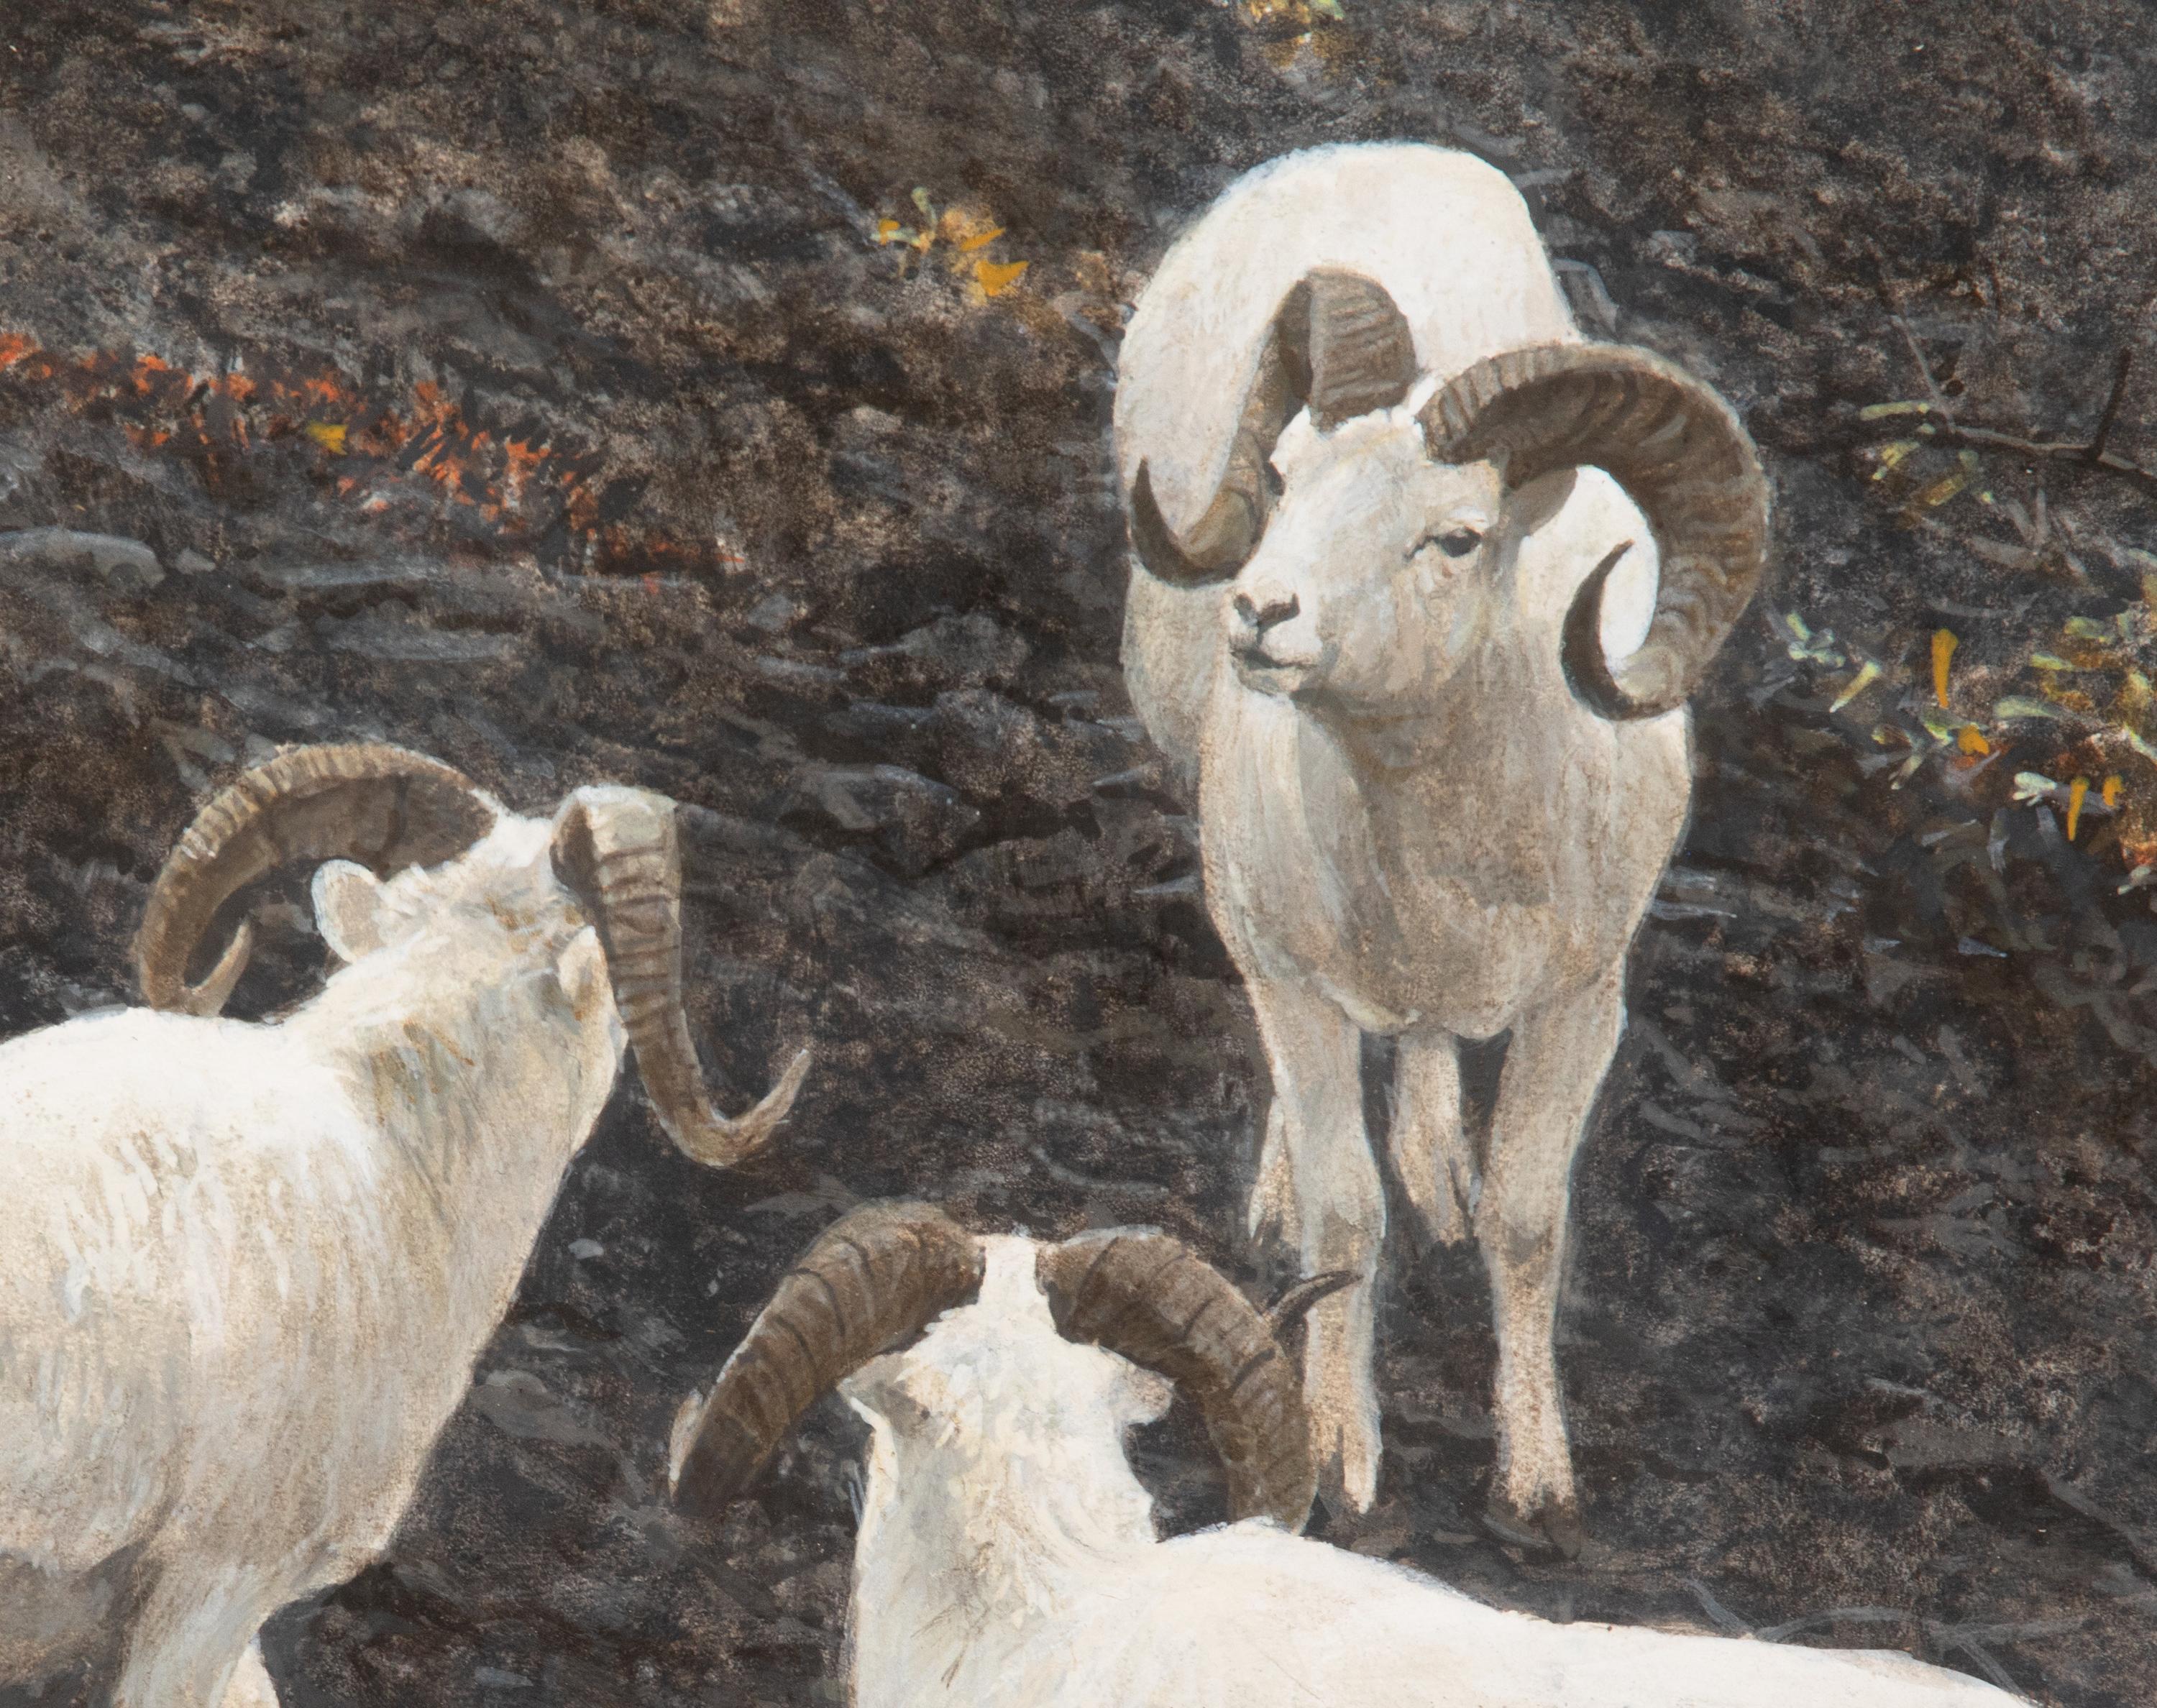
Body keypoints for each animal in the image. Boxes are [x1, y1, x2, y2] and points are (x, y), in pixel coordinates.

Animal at [1111, 141, 1772, 1545]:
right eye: (1286, 479)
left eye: (1456, 537)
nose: (1261, 614)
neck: (1438, 873)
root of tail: (1365, 154)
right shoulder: (1295, 985)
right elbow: (1344, 1223)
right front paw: (1340, 1460)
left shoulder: (1582, 1003)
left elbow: (1526, 1223)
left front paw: (1536, 1482)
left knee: (1423, 1057)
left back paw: (1439, 1174)